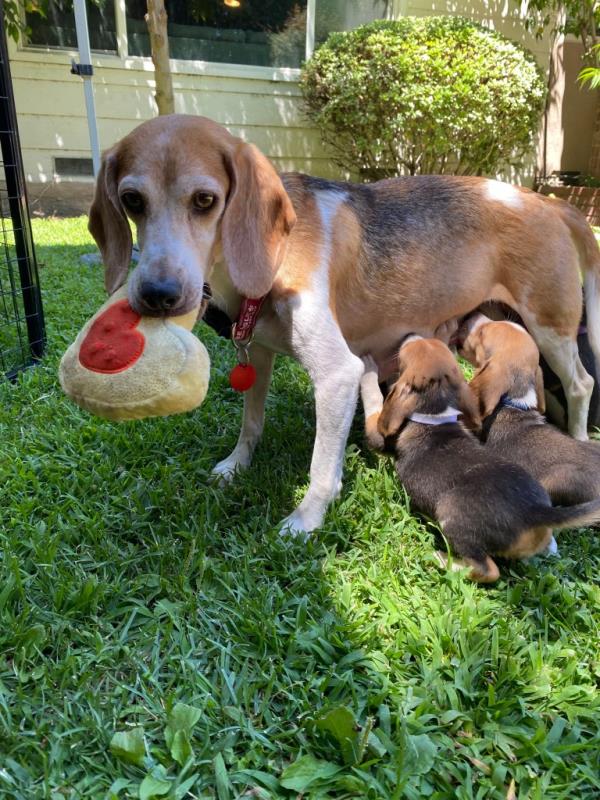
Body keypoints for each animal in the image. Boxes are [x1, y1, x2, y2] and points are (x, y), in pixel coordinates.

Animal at [358, 338, 600, 580]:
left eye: (407, 354)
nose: (412, 337)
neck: (436, 413)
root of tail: (535, 511)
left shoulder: (379, 437)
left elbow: (373, 403)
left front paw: (367, 368)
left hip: (450, 513)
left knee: (487, 570)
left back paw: (441, 560)